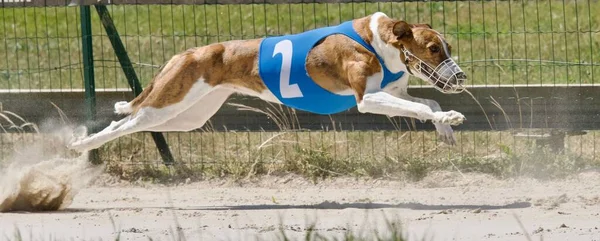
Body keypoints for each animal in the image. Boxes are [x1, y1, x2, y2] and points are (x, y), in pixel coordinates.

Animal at [68, 12, 466, 152]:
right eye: (433, 48)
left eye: (448, 46)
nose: (461, 77)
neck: (377, 41)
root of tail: (187, 52)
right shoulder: (368, 99)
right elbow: (421, 106)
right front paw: (451, 118)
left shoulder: (390, 93)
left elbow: (428, 103)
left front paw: (445, 127)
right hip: (169, 102)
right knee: (126, 123)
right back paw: (79, 145)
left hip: (188, 115)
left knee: (132, 123)